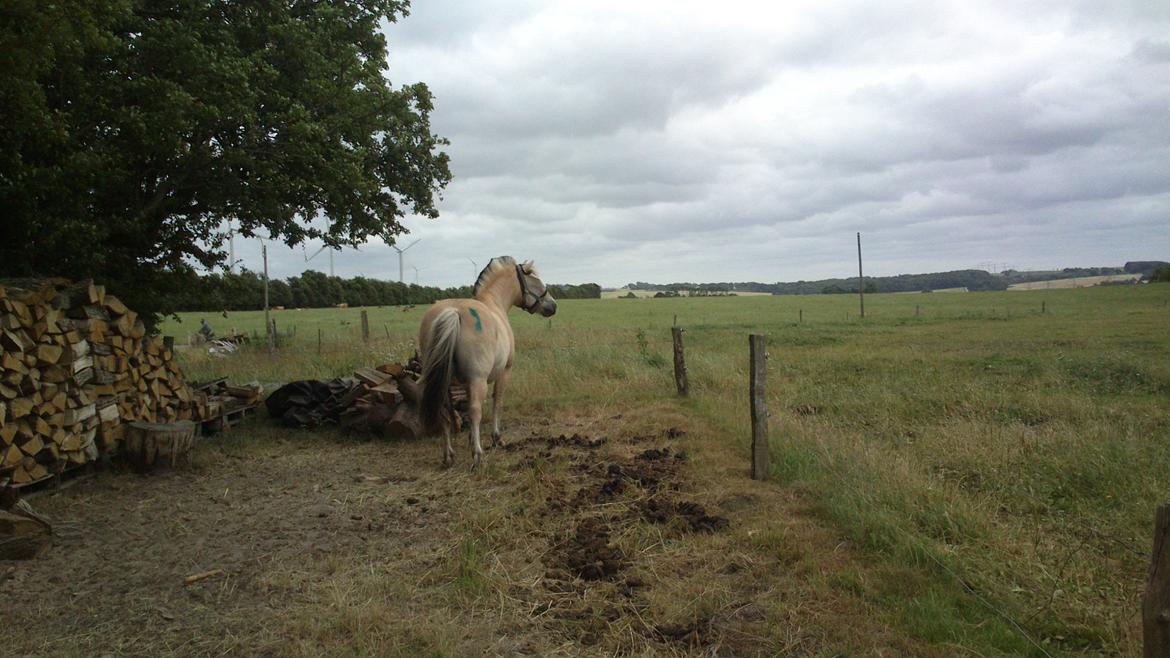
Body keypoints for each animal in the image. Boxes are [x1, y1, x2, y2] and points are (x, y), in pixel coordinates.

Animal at [416, 254, 556, 463]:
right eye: (534, 277)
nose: (553, 305)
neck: (494, 303)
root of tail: (454, 311)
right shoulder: (504, 372)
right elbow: (497, 402)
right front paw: (496, 438)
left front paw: (470, 440)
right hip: (478, 379)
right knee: (475, 411)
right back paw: (478, 455)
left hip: (444, 381)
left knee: (444, 412)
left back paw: (449, 455)